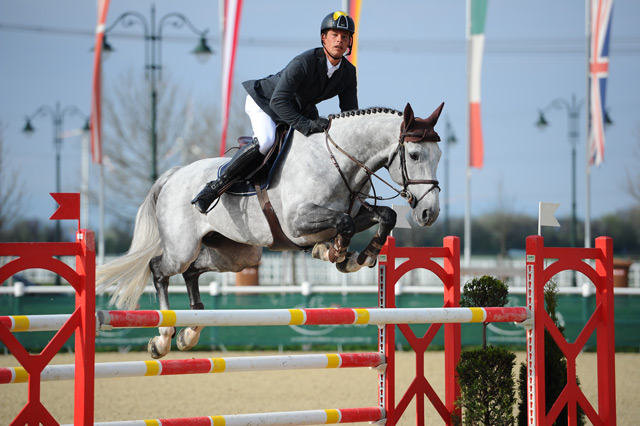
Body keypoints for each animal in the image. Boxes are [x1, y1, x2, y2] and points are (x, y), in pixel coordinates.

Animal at [96, 101, 444, 358]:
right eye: (414, 155)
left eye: (439, 156)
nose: (429, 213)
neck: (337, 161)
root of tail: (174, 175)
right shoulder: (297, 223)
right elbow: (342, 224)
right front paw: (335, 252)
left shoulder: (354, 213)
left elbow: (386, 215)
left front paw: (361, 256)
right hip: (182, 247)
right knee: (159, 269)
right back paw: (164, 338)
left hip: (237, 254)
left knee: (193, 271)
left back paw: (190, 332)